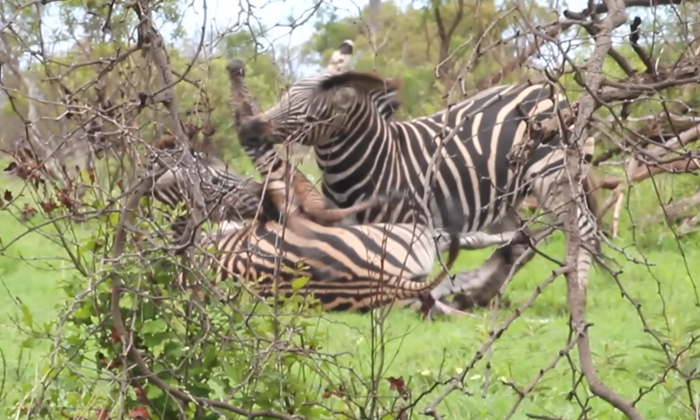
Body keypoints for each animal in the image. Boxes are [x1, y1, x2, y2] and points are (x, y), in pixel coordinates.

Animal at [226, 40, 600, 306]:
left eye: (309, 113)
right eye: (286, 94)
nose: (248, 128)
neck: (375, 160)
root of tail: (544, 90)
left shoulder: (405, 226)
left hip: (554, 175)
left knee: (582, 230)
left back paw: (578, 294)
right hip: (503, 197)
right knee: (520, 243)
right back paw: (480, 296)